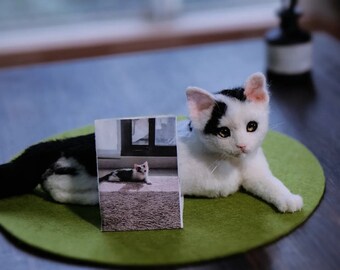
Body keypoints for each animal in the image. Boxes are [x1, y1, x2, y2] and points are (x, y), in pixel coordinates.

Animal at [0, 73, 302, 212]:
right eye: (224, 133)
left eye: (252, 127)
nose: (241, 146)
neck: (234, 163)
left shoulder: (255, 172)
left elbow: (271, 184)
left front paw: (288, 199)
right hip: (83, 167)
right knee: (54, 181)